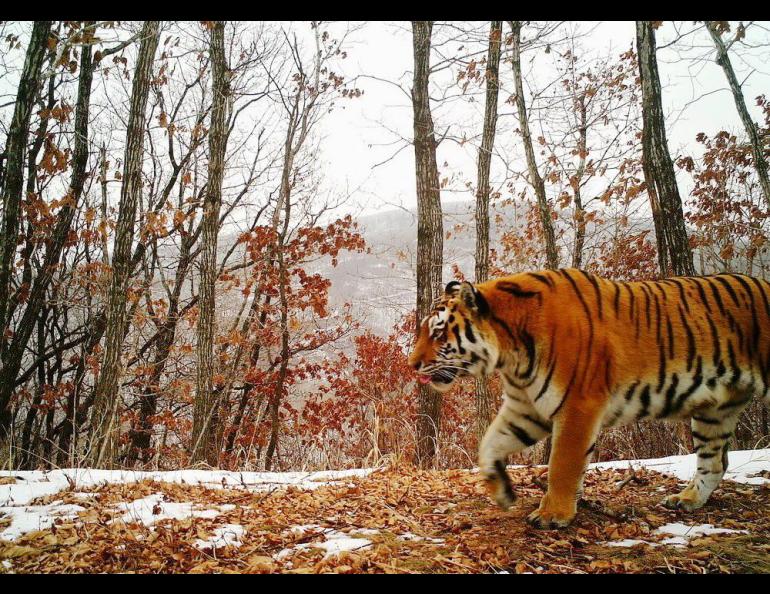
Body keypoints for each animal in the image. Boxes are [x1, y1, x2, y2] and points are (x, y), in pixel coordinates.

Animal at [408, 268, 768, 528]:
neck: (511, 354)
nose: (412, 365)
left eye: (438, 332)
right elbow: (490, 443)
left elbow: (562, 464)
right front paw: (502, 491)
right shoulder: (525, 408)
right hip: (715, 411)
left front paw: (552, 515)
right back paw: (686, 500)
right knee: (715, 462)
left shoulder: (577, 406)